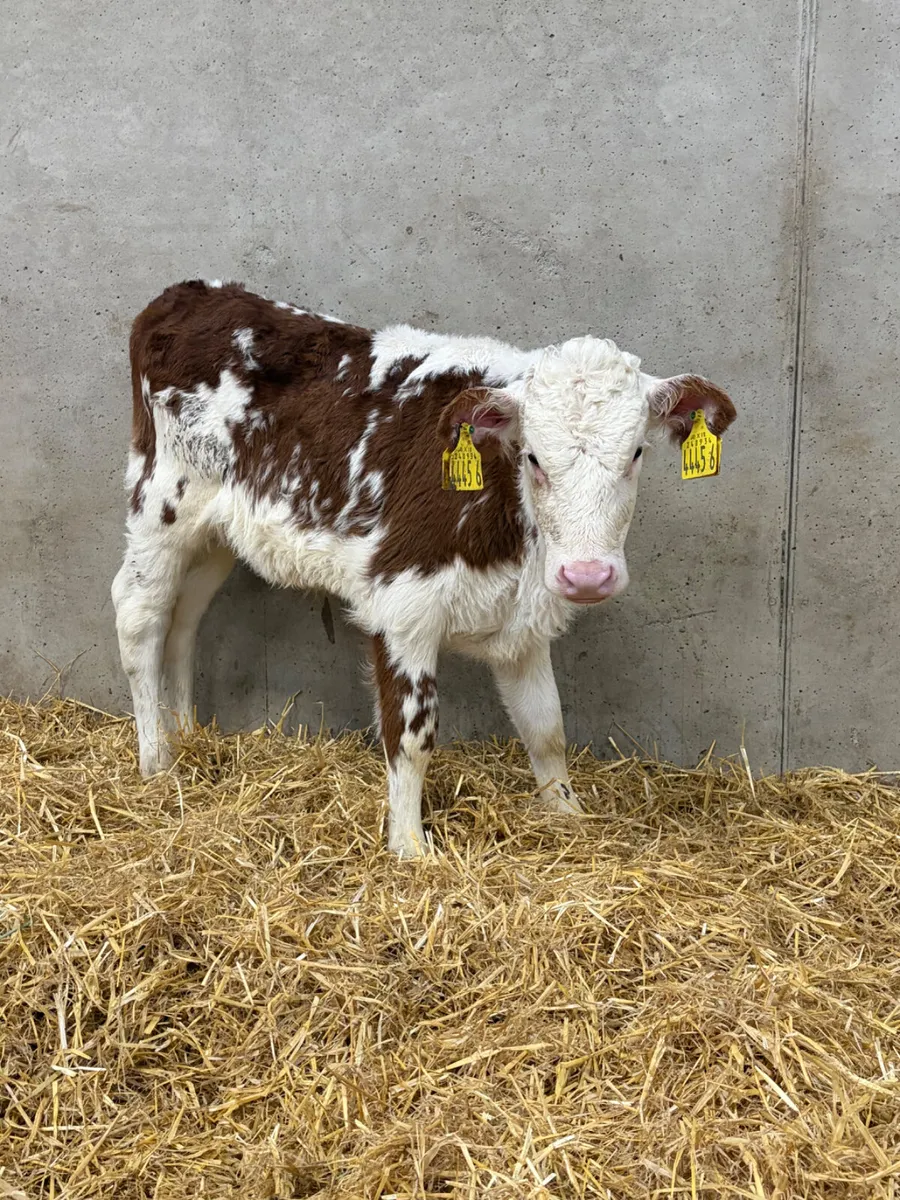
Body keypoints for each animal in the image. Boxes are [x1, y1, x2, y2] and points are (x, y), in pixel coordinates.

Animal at [112, 280, 736, 856]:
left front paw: (567, 813)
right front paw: (410, 847)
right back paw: (158, 761)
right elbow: (411, 736)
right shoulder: (402, 606)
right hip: (162, 499)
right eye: (533, 456)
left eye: (635, 454)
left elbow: (546, 727)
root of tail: (190, 292)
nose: (586, 575)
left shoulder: (523, 620)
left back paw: (187, 734)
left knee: (184, 619)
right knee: (139, 614)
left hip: (217, 531)